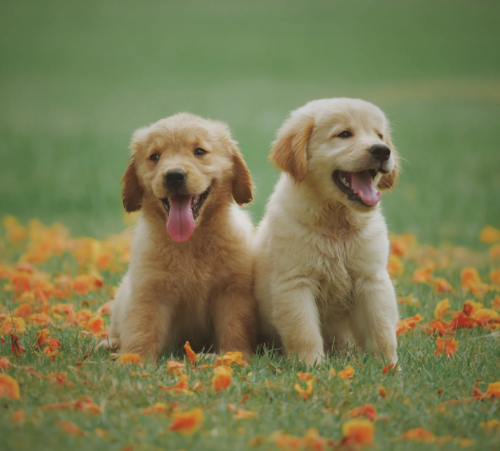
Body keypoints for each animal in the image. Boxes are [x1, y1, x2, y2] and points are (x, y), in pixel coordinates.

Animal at [100, 114, 258, 364]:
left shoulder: (233, 292)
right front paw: (135, 359)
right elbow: (142, 328)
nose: (174, 176)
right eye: (155, 156)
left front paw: (234, 355)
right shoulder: (149, 292)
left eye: (199, 151)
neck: (191, 243)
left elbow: (235, 327)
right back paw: (110, 342)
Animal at [256, 99, 400, 368]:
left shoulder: (371, 279)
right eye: (344, 134)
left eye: (379, 135)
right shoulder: (295, 282)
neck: (336, 225)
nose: (382, 151)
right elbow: (303, 330)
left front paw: (388, 365)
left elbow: (381, 328)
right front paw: (311, 366)